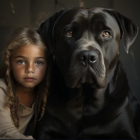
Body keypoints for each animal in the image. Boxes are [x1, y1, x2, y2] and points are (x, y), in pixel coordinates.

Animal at [34, 7, 140, 139]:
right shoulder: (46, 130)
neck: (85, 101)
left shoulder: (124, 129)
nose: (88, 56)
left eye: (106, 33)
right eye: (69, 33)